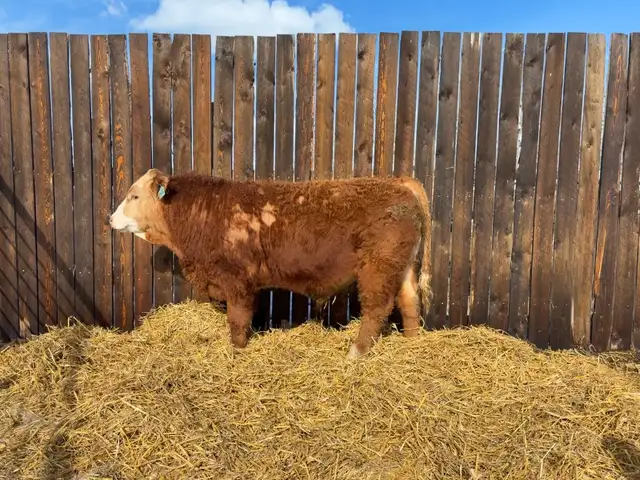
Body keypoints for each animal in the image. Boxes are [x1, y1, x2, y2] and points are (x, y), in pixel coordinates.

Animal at [109, 168, 432, 358]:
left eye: (133, 195)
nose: (110, 219)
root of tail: (399, 182)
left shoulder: (237, 280)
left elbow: (238, 319)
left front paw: (237, 351)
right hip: (402, 268)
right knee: (410, 304)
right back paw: (412, 344)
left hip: (378, 268)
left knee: (377, 309)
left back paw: (356, 352)